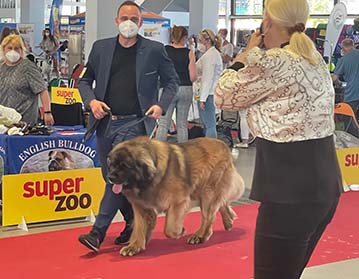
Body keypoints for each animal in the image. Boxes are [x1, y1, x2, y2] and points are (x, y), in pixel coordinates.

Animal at [107, 137, 246, 258]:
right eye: (112, 165)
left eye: (125, 165)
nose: (110, 177)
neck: (148, 180)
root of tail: (224, 145)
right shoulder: (141, 207)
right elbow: (139, 228)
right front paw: (135, 246)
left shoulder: (179, 201)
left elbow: (169, 229)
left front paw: (180, 231)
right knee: (222, 203)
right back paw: (228, 221)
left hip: (207, 193)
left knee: (208, 217)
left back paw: (199, 236)